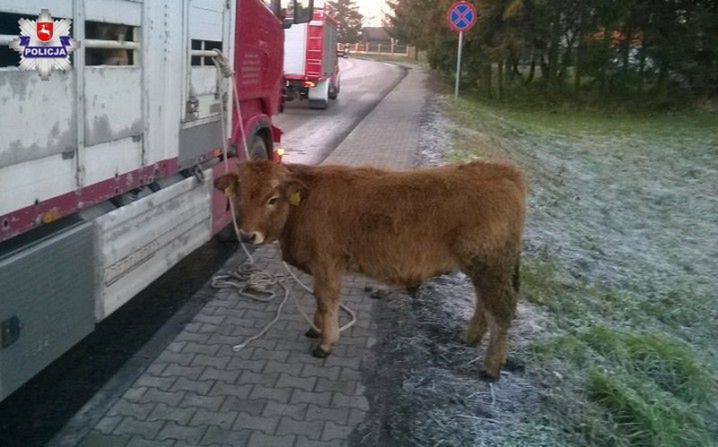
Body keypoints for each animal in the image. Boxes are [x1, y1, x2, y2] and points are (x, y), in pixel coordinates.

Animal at [214, 159, 528, 380]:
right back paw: (470, 338)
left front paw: (325, 343)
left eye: (273, 199)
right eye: (239, 196)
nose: (247, 235)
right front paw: (315, 330)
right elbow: (318, 300)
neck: (302, 207)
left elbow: (326, 301)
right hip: (482, 267)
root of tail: (502, 170)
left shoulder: (327, 264)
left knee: (501, 311)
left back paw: (491, 368)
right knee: (484, 304)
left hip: (491, 266)